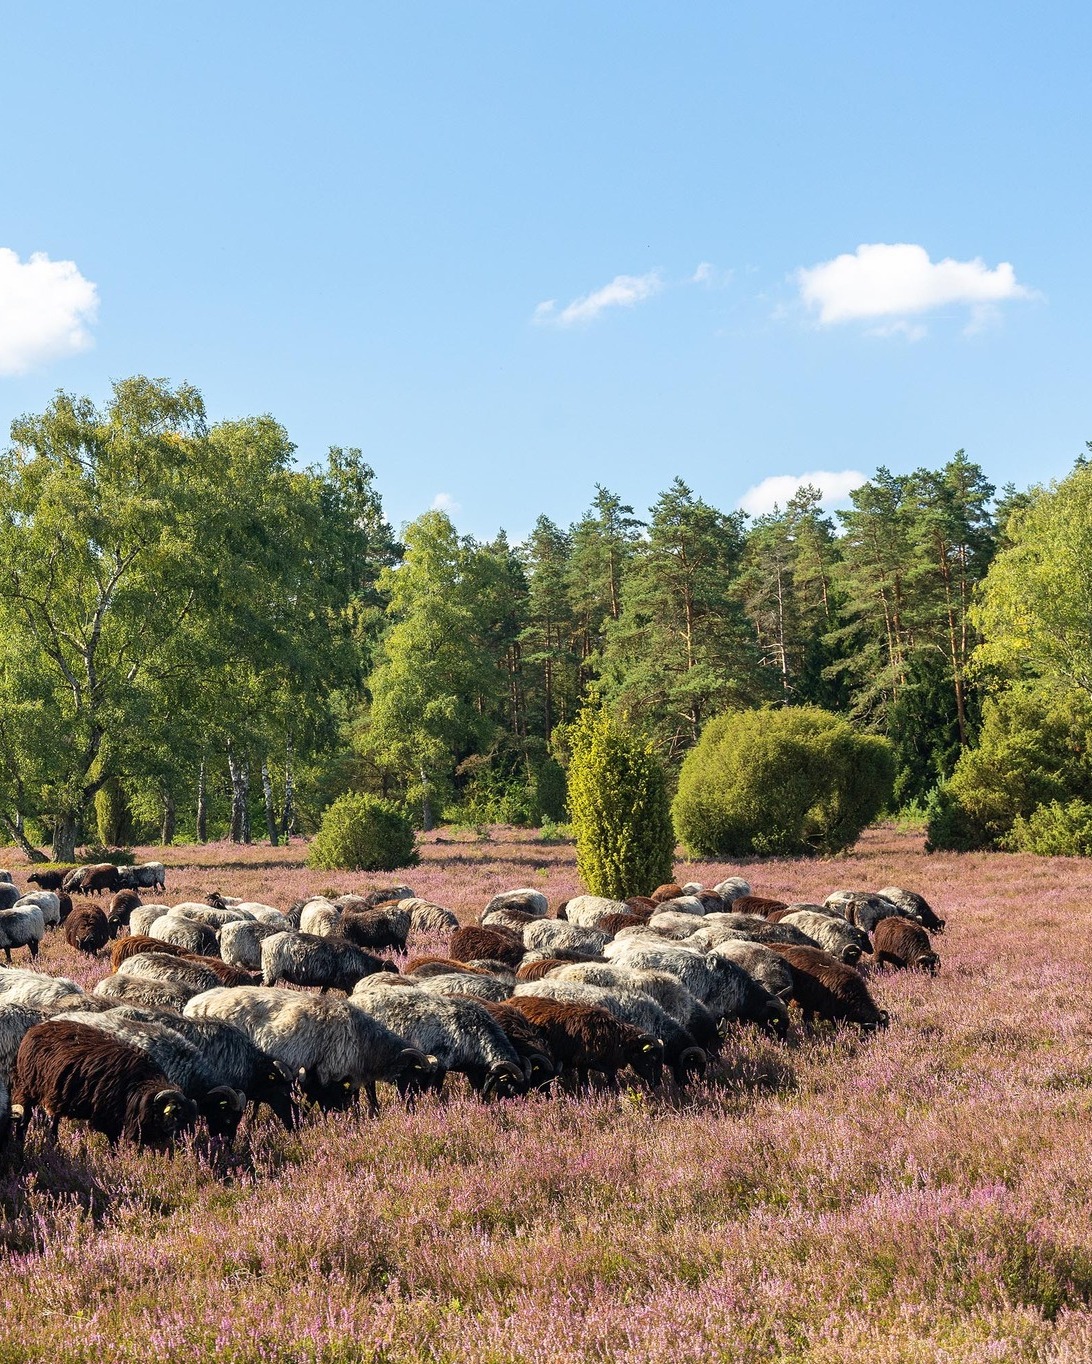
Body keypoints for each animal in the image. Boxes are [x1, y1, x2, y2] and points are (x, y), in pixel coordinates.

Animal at [11, 1019, 197, 1148]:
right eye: (177, 1115)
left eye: (192, 1118)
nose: (188, 1142)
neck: (141, 1089)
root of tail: (34, 1030)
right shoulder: (109, 1120)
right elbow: (113, 1144)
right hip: (27, 1087)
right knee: (25, 1117)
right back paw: (21, 1141)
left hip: (54, 1095)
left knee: (53, 1122)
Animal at [184, 987, 437, 1115]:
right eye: (416, 1077)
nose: (414, 1108)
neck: (367, 1044)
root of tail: (191, 1004)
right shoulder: (330, 1071)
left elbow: (365, 1093)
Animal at [351, 980, 525, 1099]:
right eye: (511, 1087)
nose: (518, 1105)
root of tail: (353, 999)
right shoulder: (441, 1064)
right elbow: (437, 1090)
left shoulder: (471, 1069)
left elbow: (476, 1087)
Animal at [504, 996, 664, 1090]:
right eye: (652, 1057)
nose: (657, 1084)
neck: (617, 1039)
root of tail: (507, 1001)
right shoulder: (585, 1061)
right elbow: (600, 1076)